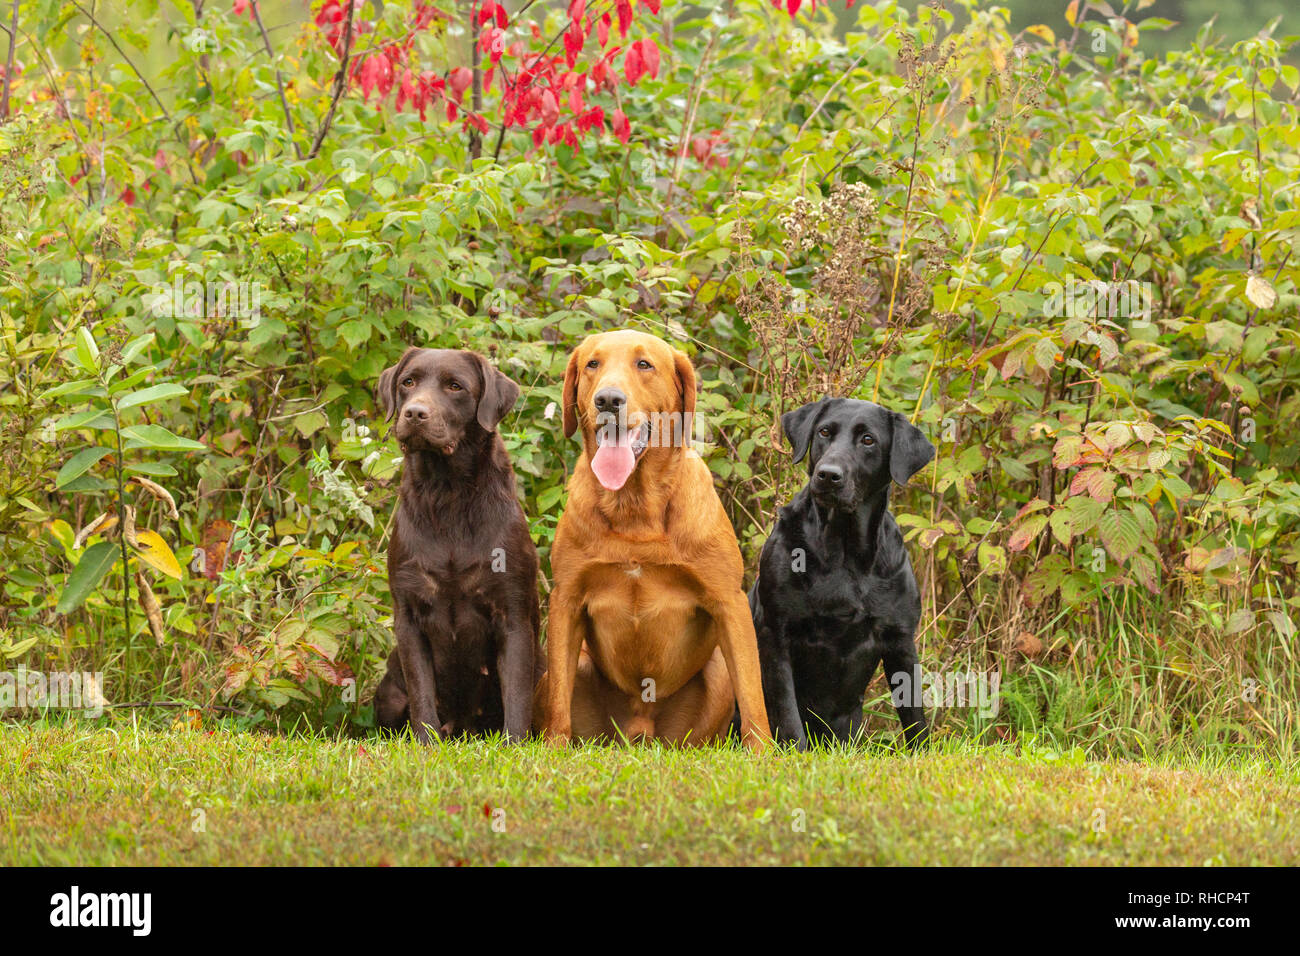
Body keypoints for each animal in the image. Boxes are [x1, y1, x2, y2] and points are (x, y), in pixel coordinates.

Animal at [374, 348, 540, 743]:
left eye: (455, 386)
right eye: (408, 382)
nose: (415, 413)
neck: (447, 493)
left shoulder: (513, 615)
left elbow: (516, 696)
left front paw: (515, 746)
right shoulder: (409, 616)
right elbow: (422, 694)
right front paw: (426, 744)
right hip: (388, 691)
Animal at [754, 395, 935, 749]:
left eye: (868, 440)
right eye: (824, 432)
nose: (828, 475)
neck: (844, 552)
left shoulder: (901, 639)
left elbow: (914, 716)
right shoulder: (775, 632)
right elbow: (787, 713)